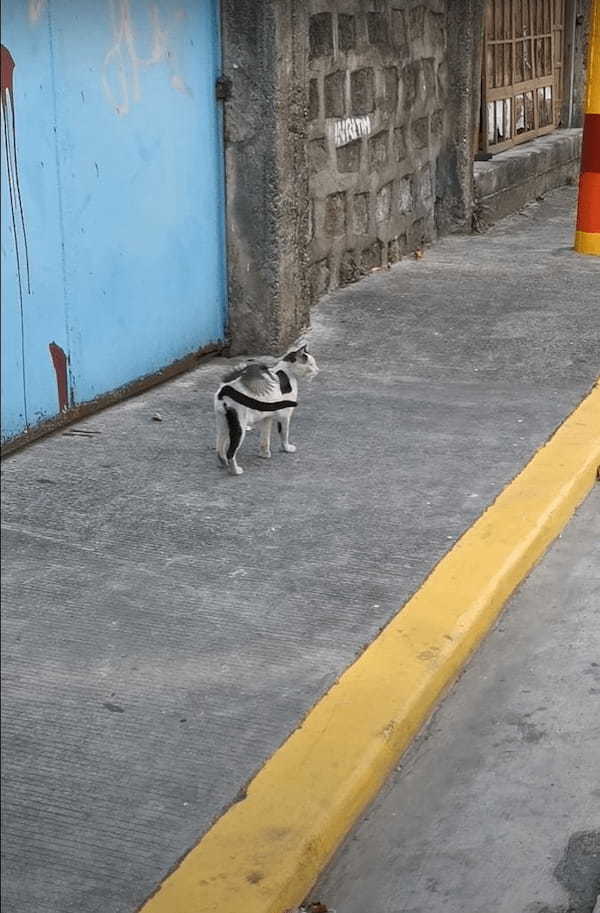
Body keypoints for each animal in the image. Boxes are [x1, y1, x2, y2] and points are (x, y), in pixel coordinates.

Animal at [214, 340, 318, 470]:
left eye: (314, 363)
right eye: (310, 364)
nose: (318, 370)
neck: (287, 372)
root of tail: (225, 390)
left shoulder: (267, 417)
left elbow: (265, 437)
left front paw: (264, 454)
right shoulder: (284, 416)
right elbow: (284, 434)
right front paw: (286, 448)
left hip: (224, 423)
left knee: (219, 447)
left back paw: (223, 463)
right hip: (239, 426)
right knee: (230, 452)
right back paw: (235, 470)